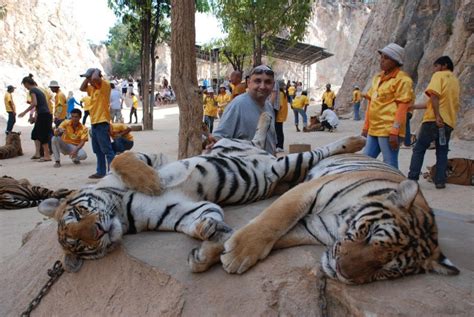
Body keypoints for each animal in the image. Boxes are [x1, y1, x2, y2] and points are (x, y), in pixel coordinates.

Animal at [38, 113, 366, 272]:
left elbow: (123, 160)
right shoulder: (178, 211)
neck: (119, 208)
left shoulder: (151, 157)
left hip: (266, 156)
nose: (98, 230)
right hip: (278, 167)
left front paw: (151, 183)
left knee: (312, 148)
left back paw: (355, 140)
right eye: (78, 244)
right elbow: (202, 217)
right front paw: (207, 230)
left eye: (78, 212)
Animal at [189, 153, 460, 284]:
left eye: (387, 269)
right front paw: (235, 253)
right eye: (371, 235)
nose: (342, 272)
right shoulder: (308, 191)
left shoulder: (311, 228)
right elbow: (274, 219)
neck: (341, 222)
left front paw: (212, 252)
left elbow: (278, 237)